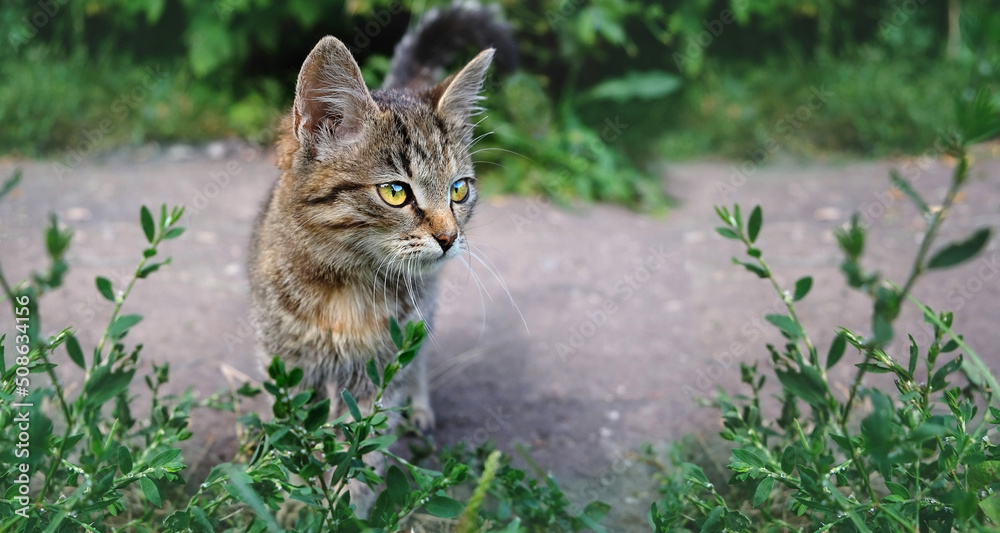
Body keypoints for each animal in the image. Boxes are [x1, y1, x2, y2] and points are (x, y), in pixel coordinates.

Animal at [248, 1, 516, 512]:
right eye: (395, 192)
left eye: (459, 190)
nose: (450, 237)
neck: (347, 285)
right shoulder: (293, 368)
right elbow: (298, 441)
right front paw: (295, 498)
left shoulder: (378, 374)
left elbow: (361, 446)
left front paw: (347, 504)